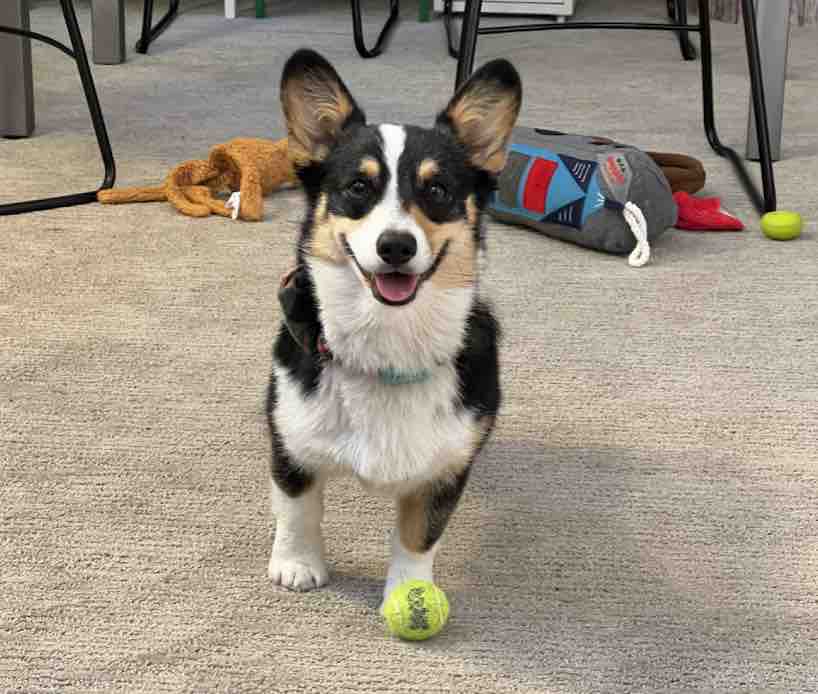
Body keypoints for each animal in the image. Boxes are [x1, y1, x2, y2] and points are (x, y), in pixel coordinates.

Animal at [268, 49, 524, 608]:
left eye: (438, 190)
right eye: (357, 187)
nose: (396, 246)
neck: (387, 342)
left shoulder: (444, 475)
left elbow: (417, 536)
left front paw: (408, 595)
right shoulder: (290, 442)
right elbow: (298, 508)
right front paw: (296, 565)